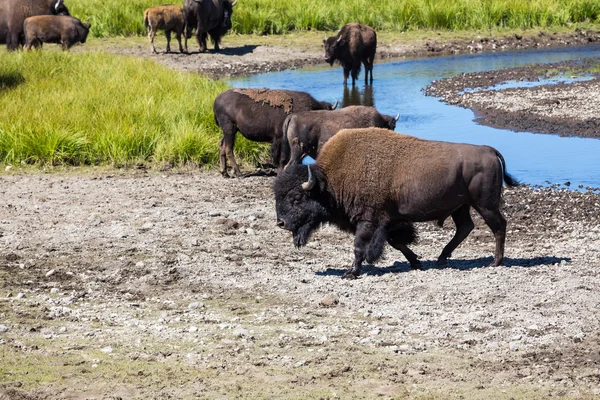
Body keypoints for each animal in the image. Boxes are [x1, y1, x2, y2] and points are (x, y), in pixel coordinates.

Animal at [274, 128, 516, 278]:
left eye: (297, 198)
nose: (281, 223)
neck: (329, 181)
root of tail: (488, 150)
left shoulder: (368, 220)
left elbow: (359, 245)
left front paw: (351, 272)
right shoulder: (388, 221)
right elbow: (395, 243)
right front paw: (416, 262)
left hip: (484, 204)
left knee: (498, 226)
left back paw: (495, 262)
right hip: (461, 207)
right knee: (465, 227)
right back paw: (441, 258)